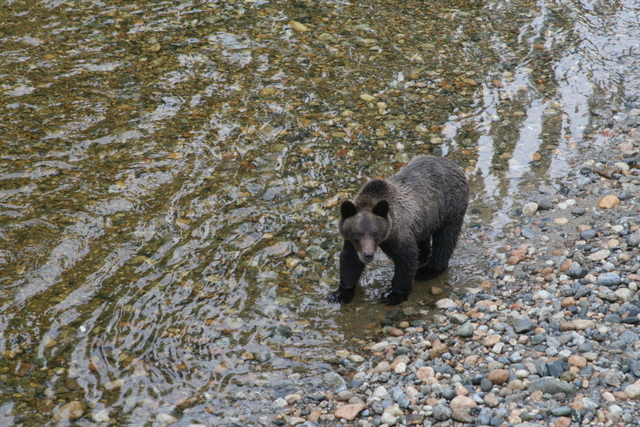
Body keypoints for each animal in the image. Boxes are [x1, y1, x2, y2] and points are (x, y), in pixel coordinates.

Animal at [328, 155, 469, 305]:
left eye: (375, 233)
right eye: (357, 233)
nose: (368, 255)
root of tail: (453, 165)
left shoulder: (398, 233)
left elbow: (406, 258)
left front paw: (393, 295)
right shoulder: (351, 242)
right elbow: (350, 262)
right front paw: (341, 294)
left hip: (450, 208)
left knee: (445, 240)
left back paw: (428, 271)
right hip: (424, 219)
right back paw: (422, 257)